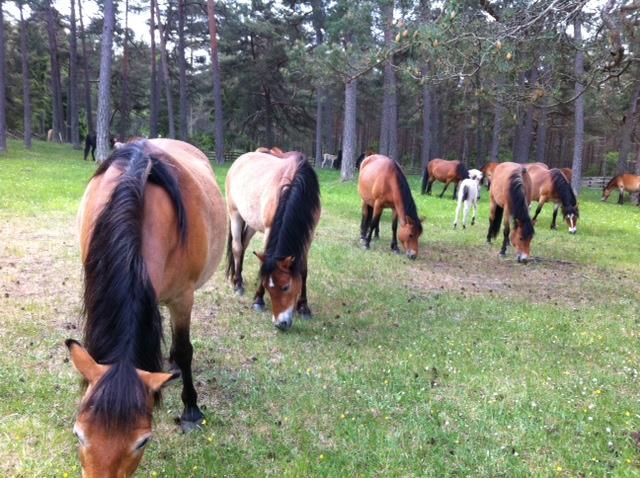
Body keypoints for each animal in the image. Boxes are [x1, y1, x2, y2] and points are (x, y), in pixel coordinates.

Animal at [228, 151, 322, 330]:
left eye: (286, 287)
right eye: (266, 286)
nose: (280, 323)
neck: (297, 183)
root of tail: (240, 159)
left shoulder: (309, 234)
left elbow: (303, 270)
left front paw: (304, 307)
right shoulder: (269, 231)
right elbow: (264, 263)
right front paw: (258, 300)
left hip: (252, 223)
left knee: (243, 246)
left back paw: (238, 278)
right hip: (234, 214)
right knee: (237, 248)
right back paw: (237, 284)